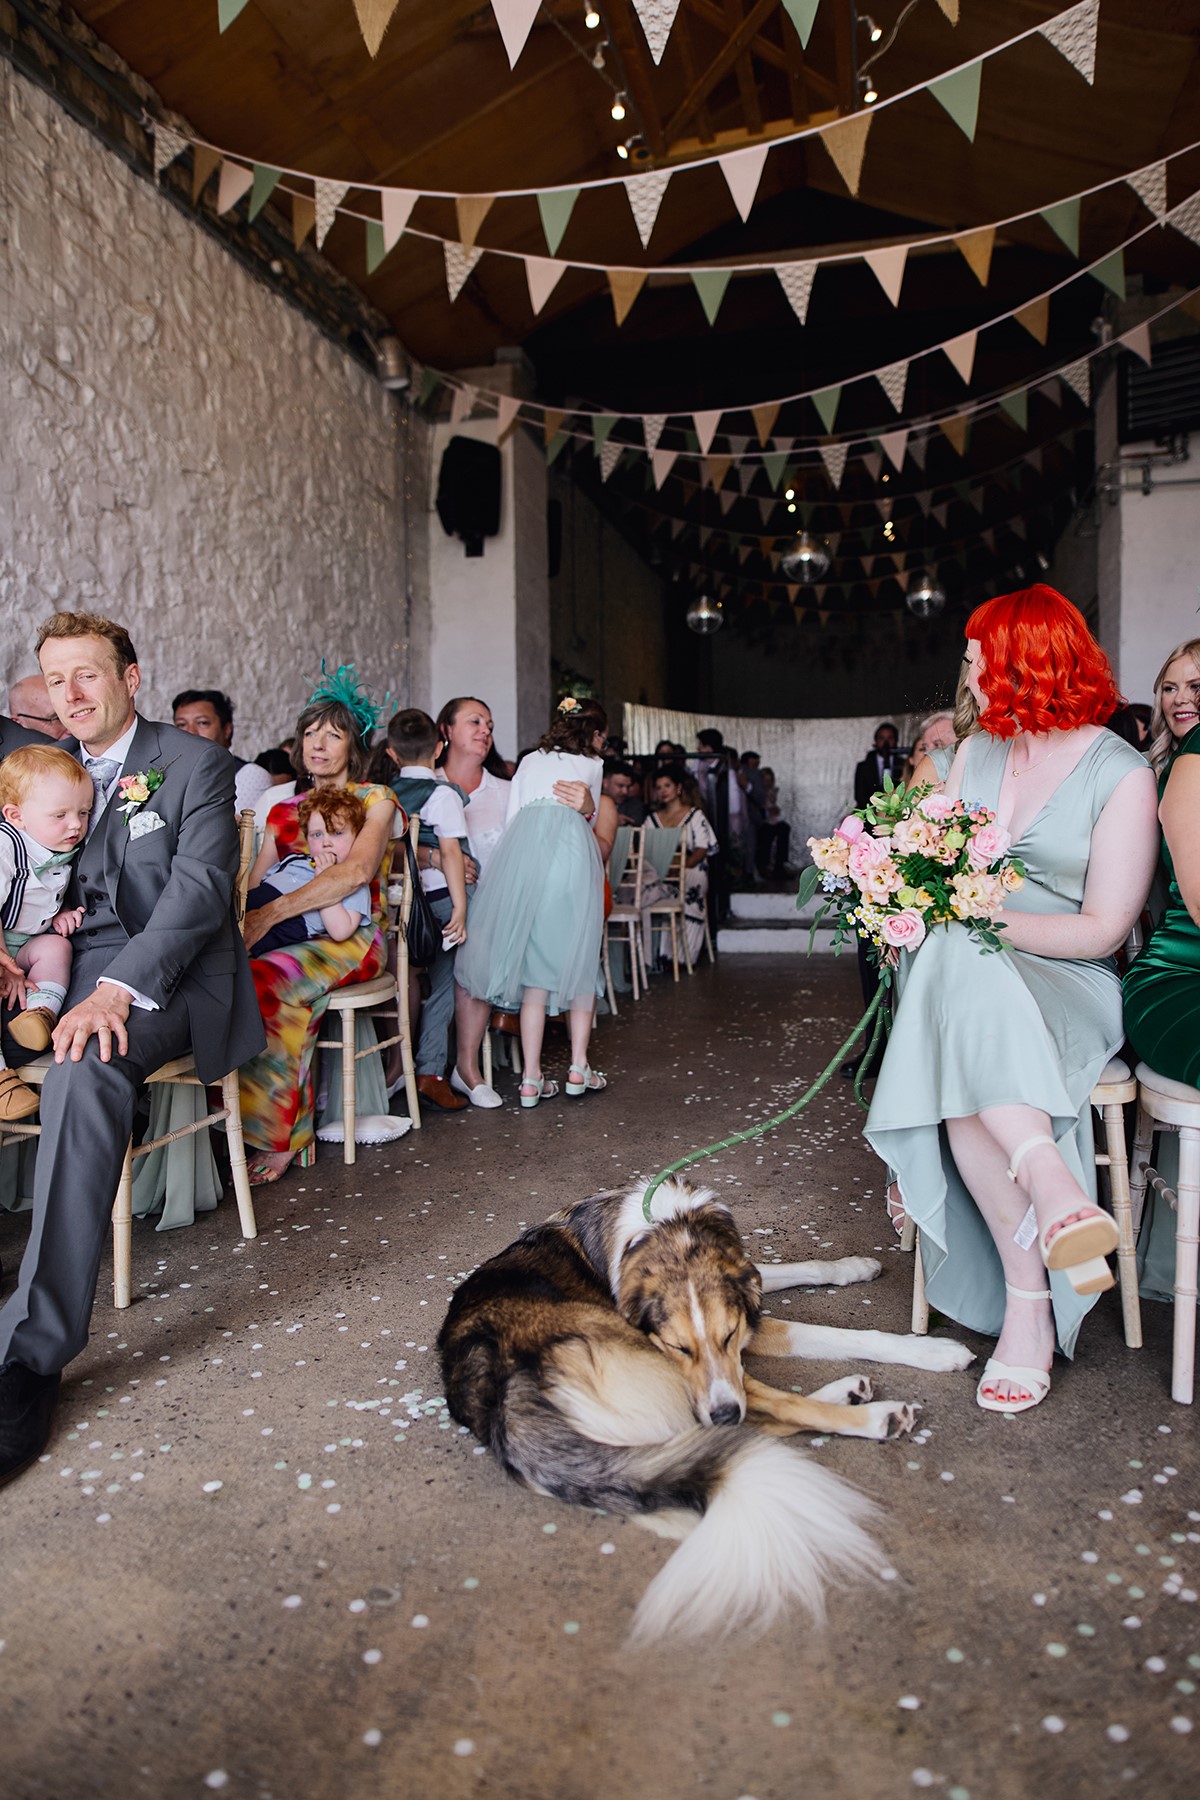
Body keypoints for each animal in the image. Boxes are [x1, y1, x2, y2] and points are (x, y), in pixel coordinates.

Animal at [438, 1178, 974, 1643]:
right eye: (681, 1347)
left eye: (727, 1335)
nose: (722, 1413)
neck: (671, 1230)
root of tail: (504, 1401)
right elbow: (842, 1338)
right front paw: (932, 1351)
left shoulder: (744, 1298)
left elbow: (791, 1267)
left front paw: (854, 1266)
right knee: (761, 1412)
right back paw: (874, 1414)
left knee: (748, 1422)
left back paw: (836, 1394)